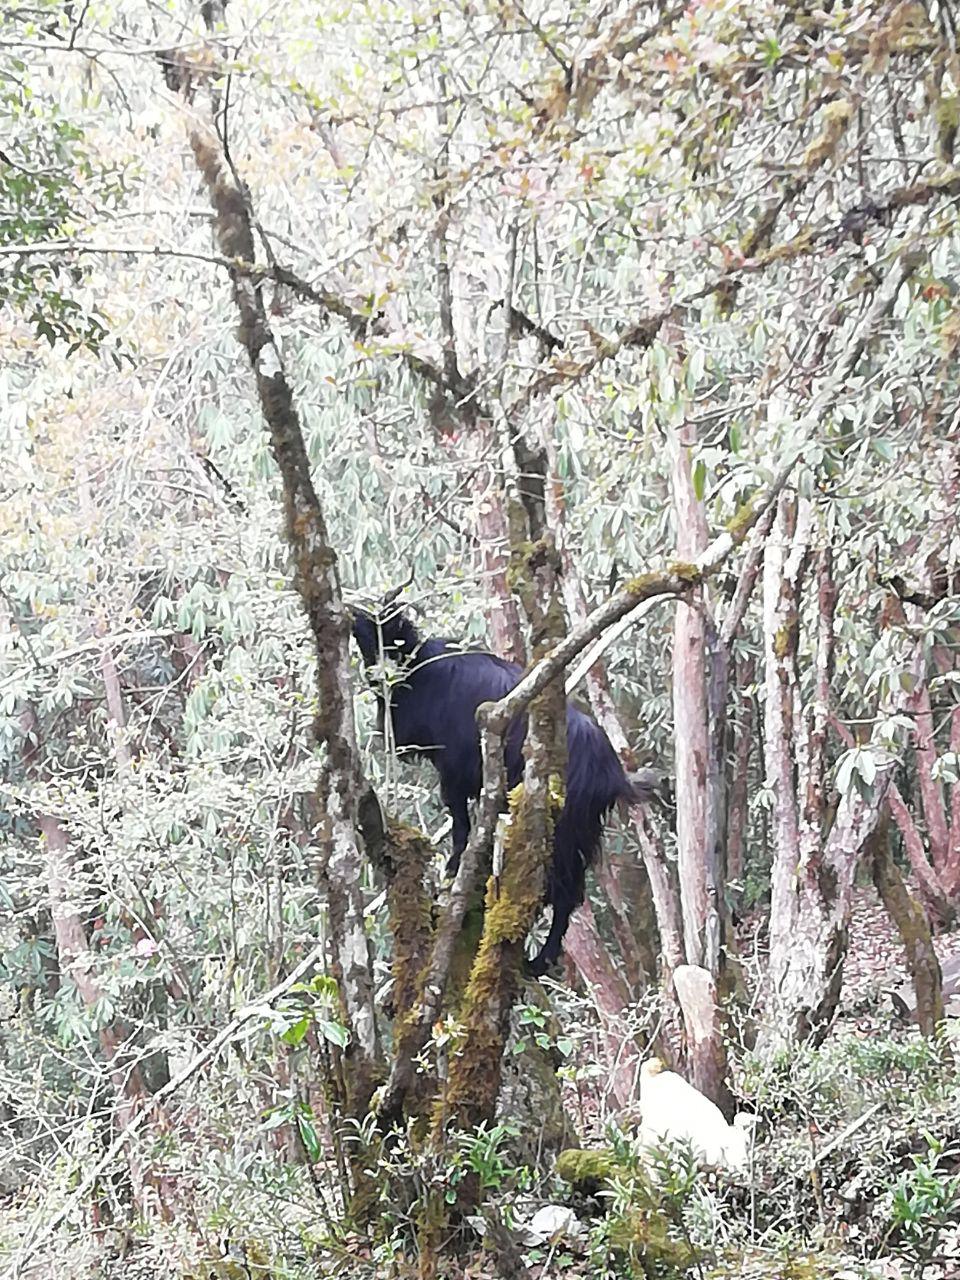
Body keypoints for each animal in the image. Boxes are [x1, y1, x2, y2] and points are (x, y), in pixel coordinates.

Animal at [355, 604, 670, 972]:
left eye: (385, 635)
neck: (426, 671)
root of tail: (613, 773)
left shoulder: (453, 771)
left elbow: (461, 825)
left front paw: (454, 869)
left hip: (565, 833)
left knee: (563, 893)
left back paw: (538, 960)